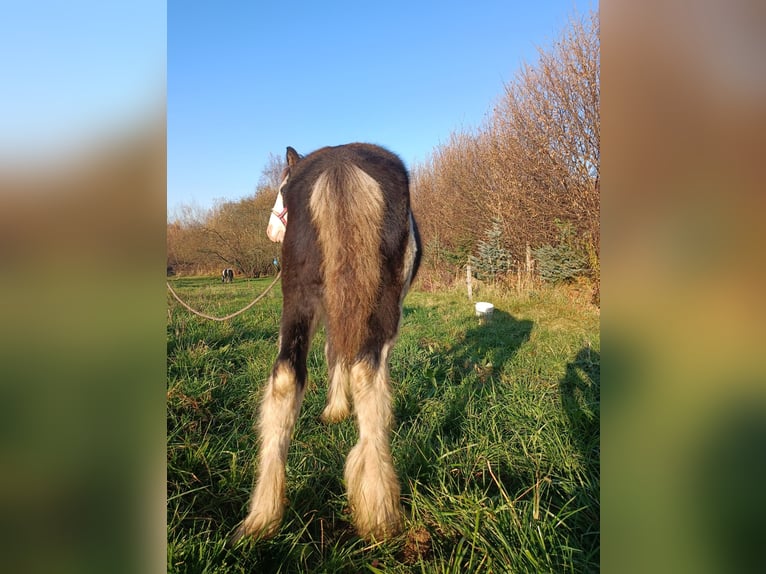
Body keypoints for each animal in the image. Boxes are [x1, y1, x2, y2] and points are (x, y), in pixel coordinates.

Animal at [236, 144, 424, 544]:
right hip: (382, 306)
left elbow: (333, 352)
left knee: (286, 376)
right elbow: (346, 357)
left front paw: (334, 410)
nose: (271, 232)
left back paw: (262, 515)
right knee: (367, 372)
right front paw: (340, 409)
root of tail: (340, 167)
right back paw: (379, 509)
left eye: (280, 189)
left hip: (297, 300)